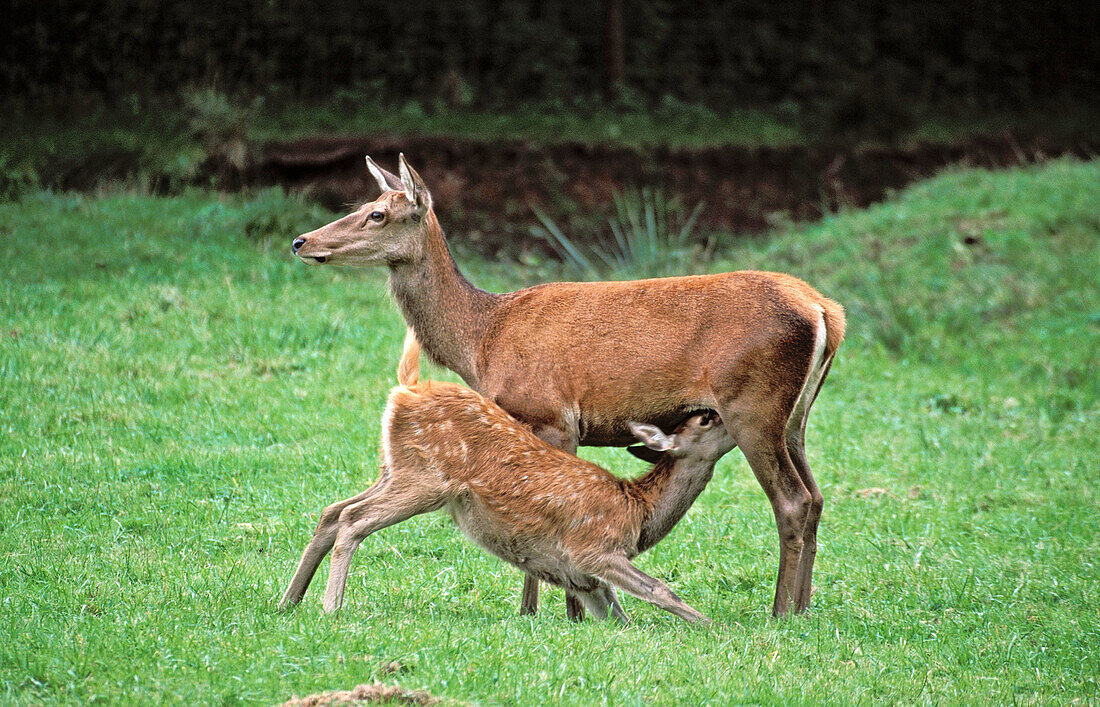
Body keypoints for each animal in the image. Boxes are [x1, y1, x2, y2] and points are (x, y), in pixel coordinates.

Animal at [279, 329, 734, 624]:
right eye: (706, 419)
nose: (725, 412)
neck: (639, 514)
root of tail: (407, 388)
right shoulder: (592, 548)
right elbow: (660, 589)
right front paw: (715, 627)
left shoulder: (583, 579)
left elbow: (620, 616)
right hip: (427, 478)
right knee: (353, 519)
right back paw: (331, 607)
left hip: (393, 467)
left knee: (333, 510)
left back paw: (289, 601)